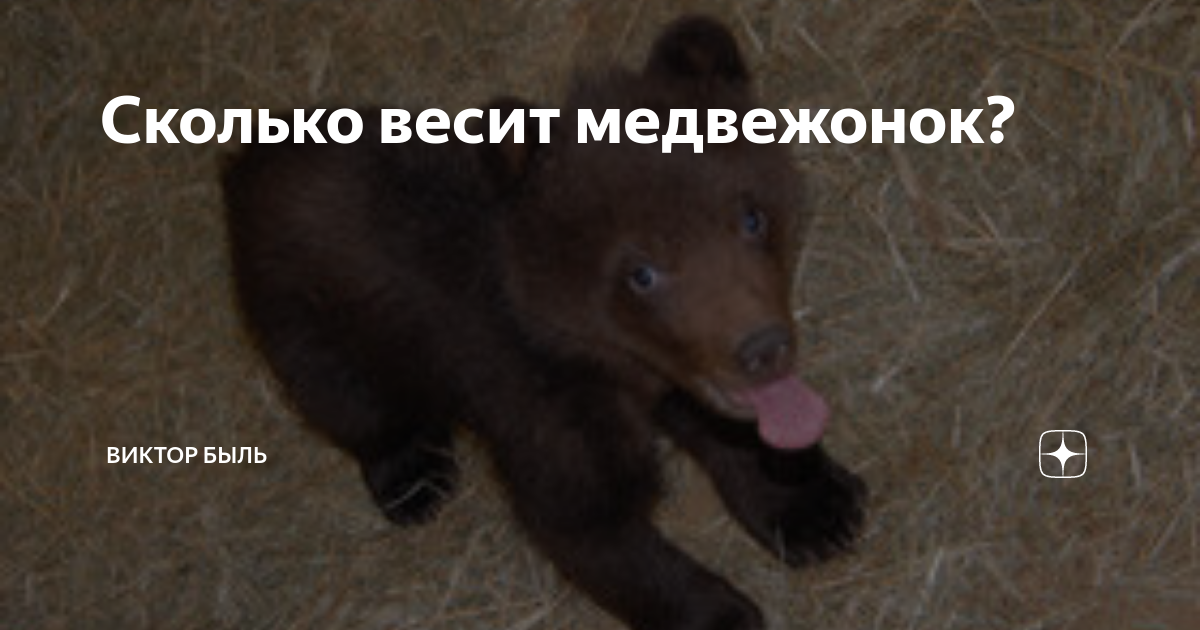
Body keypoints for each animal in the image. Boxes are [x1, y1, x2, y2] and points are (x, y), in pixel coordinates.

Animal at [222, 16, 866, 630]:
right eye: (640, 273)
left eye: (753, 217)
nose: (763, 349)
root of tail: (247, 161)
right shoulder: (535, 402)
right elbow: (594, 531)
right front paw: (722, 614)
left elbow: (723, 429)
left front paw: (812, 508)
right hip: (304, 319)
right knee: (353, 404)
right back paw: (413, 479)